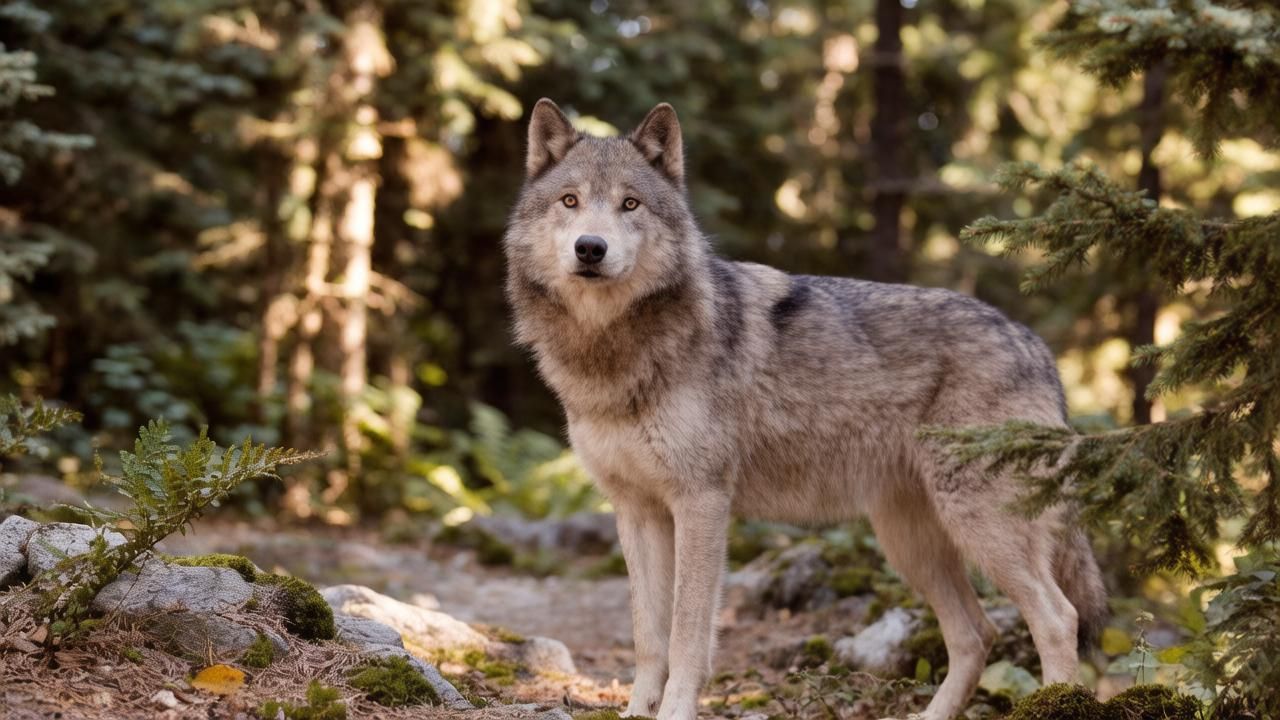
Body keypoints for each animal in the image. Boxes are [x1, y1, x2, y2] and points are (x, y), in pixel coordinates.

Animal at [503, 99, 1107, 720]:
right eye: (570, 201)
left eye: (630, 204)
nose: (590, 248)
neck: (612, 352)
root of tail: (1038, 349)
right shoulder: (636, 512)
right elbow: (648, 636)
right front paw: (636, 712)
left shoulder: (702, 503)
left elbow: (687, 634)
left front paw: (673, 711)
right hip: (910, 544)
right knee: (976, 633)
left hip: (979, 530)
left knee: (1058, 618)